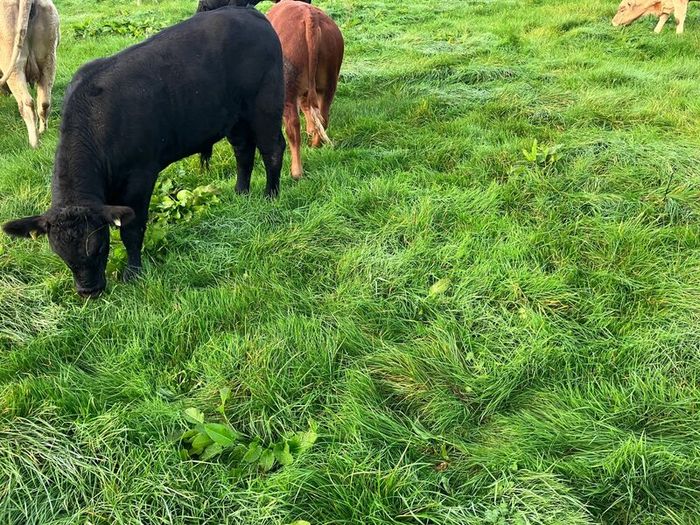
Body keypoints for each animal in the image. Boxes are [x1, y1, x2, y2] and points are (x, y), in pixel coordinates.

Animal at [0, 0, 59, 148]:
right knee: (44, 101)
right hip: (49, 58)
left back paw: (34, 143)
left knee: (27, 103)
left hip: (13, 64)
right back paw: (43, 131)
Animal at [267, 0, 343, 180]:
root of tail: (310, 16)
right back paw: (315, 144)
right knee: (323, 116)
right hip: (329, 83)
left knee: (293, 127)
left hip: (287, 90)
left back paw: (296, 171)